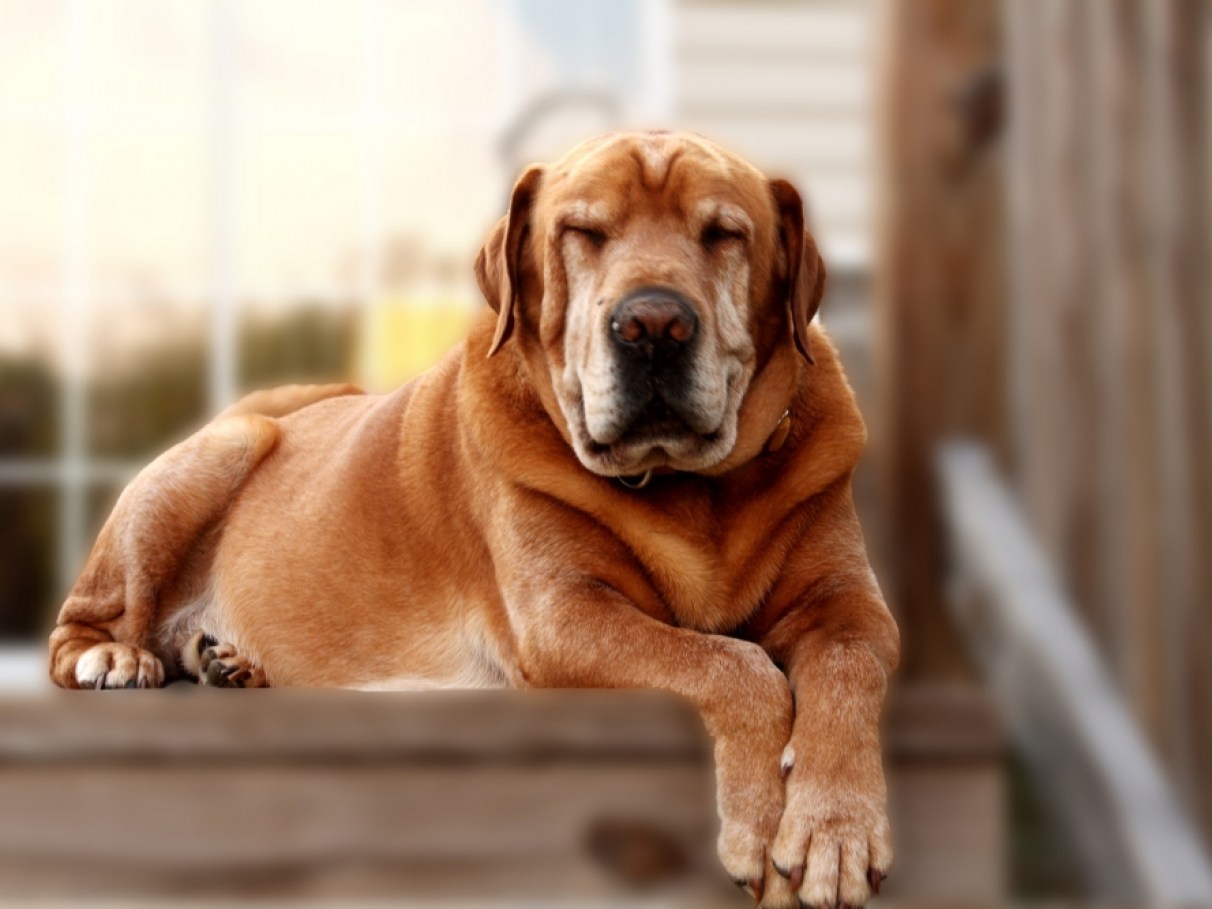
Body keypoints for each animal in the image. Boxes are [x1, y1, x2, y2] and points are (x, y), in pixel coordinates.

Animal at [49, 129, 901, 909]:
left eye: (723, 233)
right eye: (582, 231)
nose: (653, 324)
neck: (689, 488)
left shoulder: (848, 603)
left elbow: (846, 665)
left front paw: (835, 828)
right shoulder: (567, 616)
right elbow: (736, 665)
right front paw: (763, 819)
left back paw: (227, 661)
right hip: (224, 449)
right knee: (79, 628)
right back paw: (116, 657)